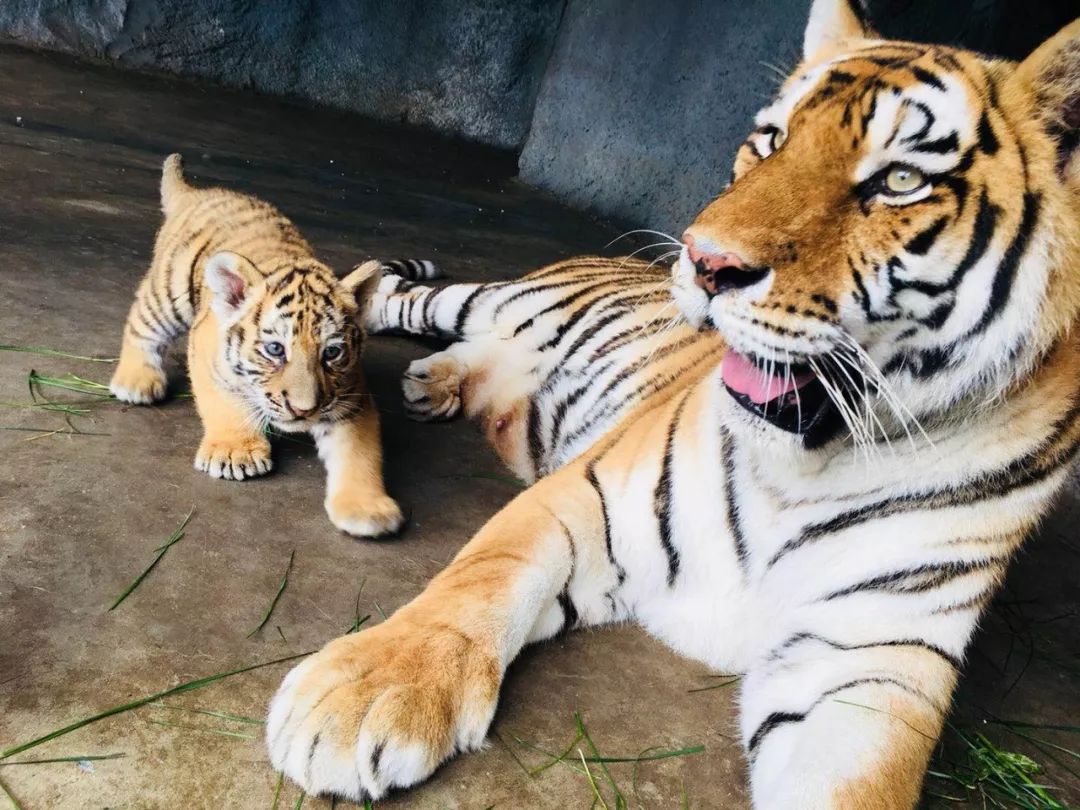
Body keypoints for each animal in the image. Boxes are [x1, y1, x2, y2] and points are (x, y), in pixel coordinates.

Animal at [265, 3, 1080, 807]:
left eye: (901, 179)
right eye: (772, 140)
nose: (706, 261)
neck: (809, 464)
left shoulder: (873, 655)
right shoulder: (585, 493)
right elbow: (477, 583)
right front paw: (361, 698)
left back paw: (434, 384)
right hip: (484, 301)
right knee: (397, 295)